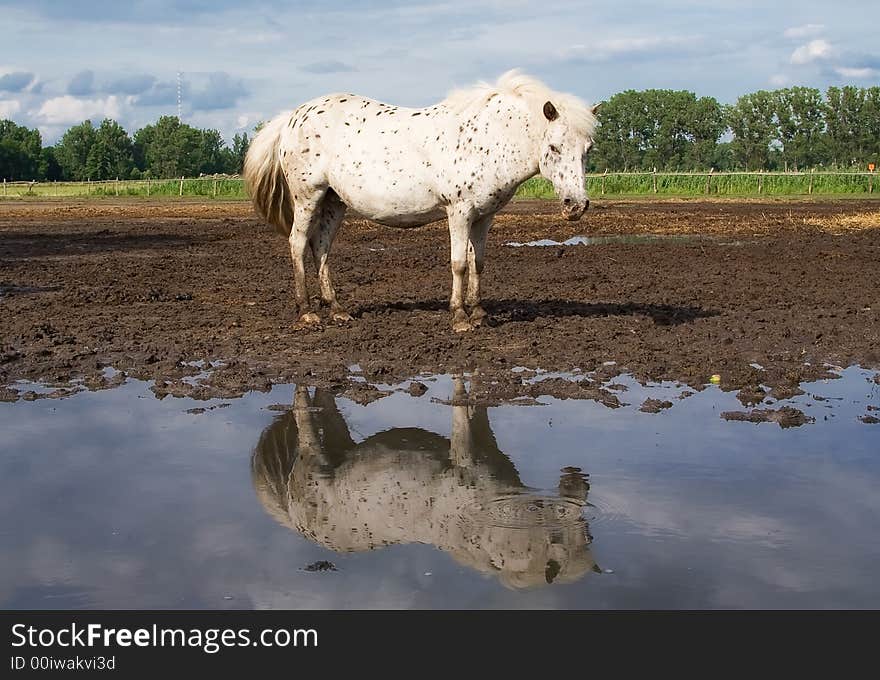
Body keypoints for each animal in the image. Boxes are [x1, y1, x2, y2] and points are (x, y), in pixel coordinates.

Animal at [242, 69, 600, 332]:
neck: (487, 138)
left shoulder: (484, 216)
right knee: (298, 244)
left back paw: (337, 309)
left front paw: (480, 313)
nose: (576, 205)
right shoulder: (459, 211)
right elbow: (458, 264)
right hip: (308, 197)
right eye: (553, 147)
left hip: (333, 202)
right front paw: (460, 318)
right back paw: (307, 313)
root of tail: (292, 117)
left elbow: (478, 262)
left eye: (587, 149)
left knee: (322, 248)